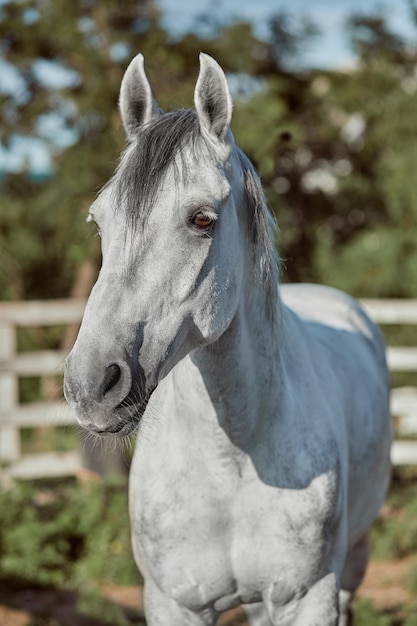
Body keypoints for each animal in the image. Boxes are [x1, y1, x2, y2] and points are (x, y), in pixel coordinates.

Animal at [64, 53, 390, 624]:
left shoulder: (311, 598)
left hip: (353, 562)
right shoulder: (174, 603)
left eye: (202, 219)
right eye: (100, 221)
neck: (231, 458)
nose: (91, 384)